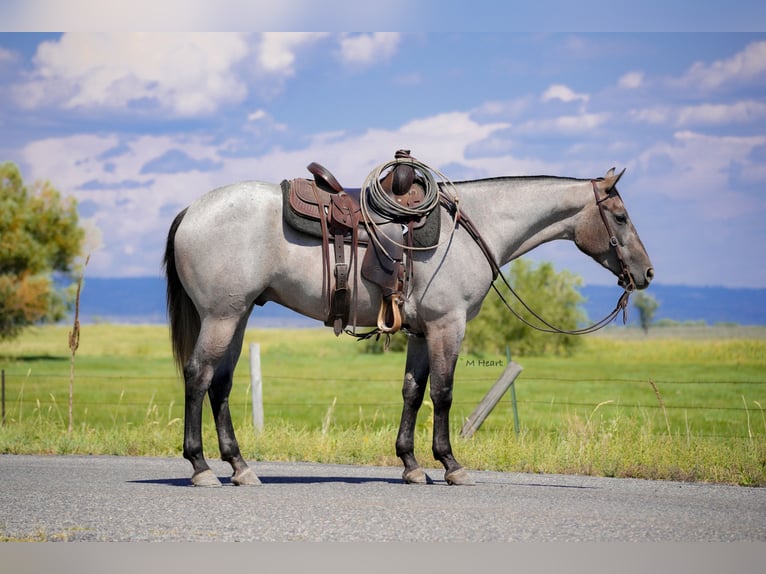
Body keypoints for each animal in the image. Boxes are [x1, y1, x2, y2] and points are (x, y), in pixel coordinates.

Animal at [163, 166, 653, 487]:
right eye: (621, 217)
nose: (646, 273)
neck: (469, 229)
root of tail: (191, 210)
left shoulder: (421, 332)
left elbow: (413, 392)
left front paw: (411, 464)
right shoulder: (447, 325)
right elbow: (443, 393)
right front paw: (451, 465)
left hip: (238, 315)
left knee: (220, 384)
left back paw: (240, 467)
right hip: (223, 316)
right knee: (198, 376)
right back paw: (201, 467)